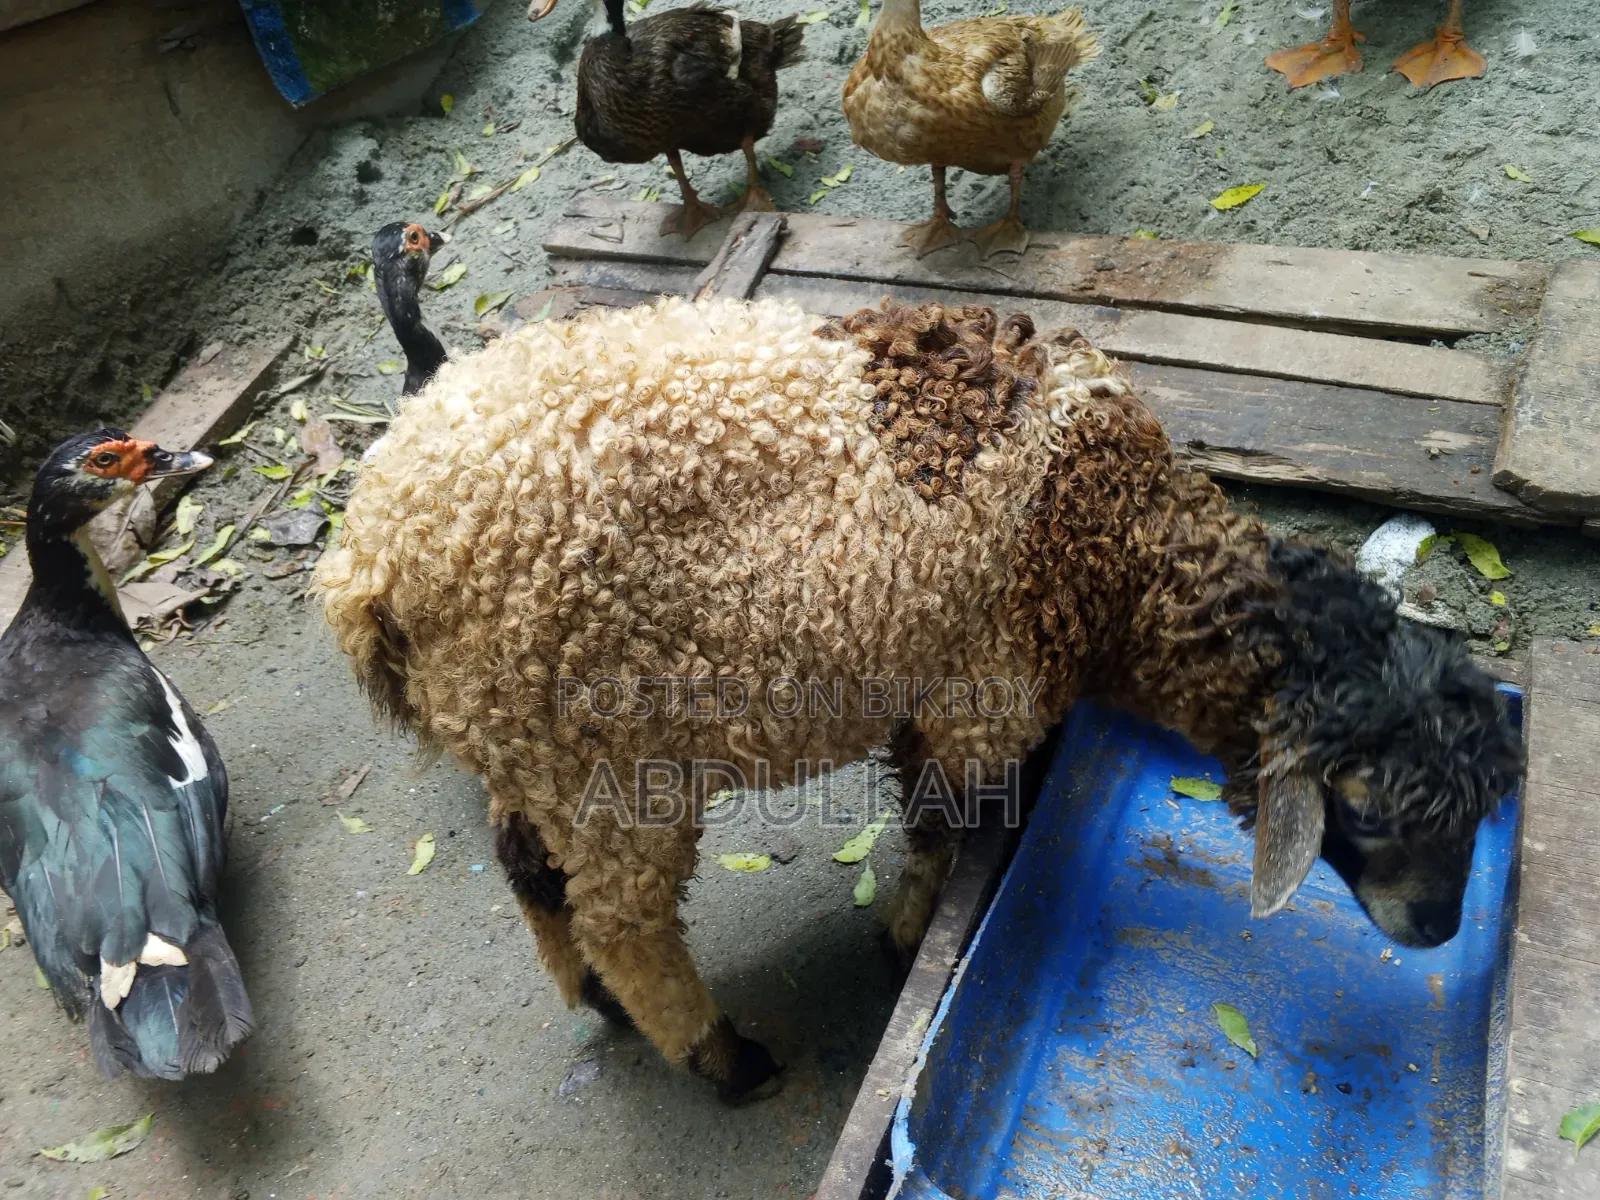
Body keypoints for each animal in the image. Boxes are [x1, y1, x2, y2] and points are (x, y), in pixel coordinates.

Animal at [314, 294, 1523, 1103]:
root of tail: (371, 561)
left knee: (532, 870)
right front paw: (903, 943)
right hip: (608, 755)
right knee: (620, 912)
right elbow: (945, 830)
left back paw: (600, 1003)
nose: (1439, 927)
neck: (1115, 532)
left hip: (525, 742)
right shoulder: (977, 699)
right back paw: (721, 1055)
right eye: (1364, 809)